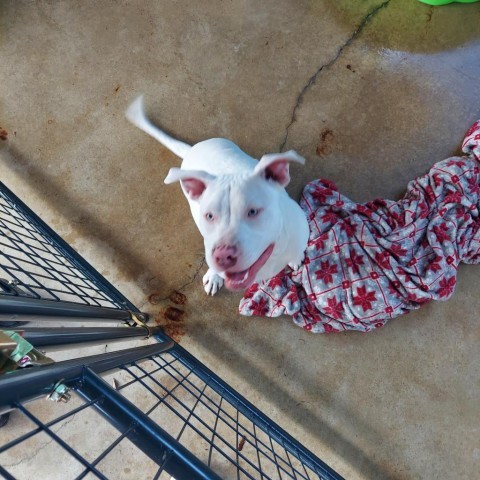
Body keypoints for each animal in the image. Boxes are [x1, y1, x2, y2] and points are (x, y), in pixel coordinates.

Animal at [125, 95, 310, 294]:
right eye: (209, 216)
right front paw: (214, 275)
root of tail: (191, 150)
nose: (223, 256)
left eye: (253, 211)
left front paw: (296, 258)